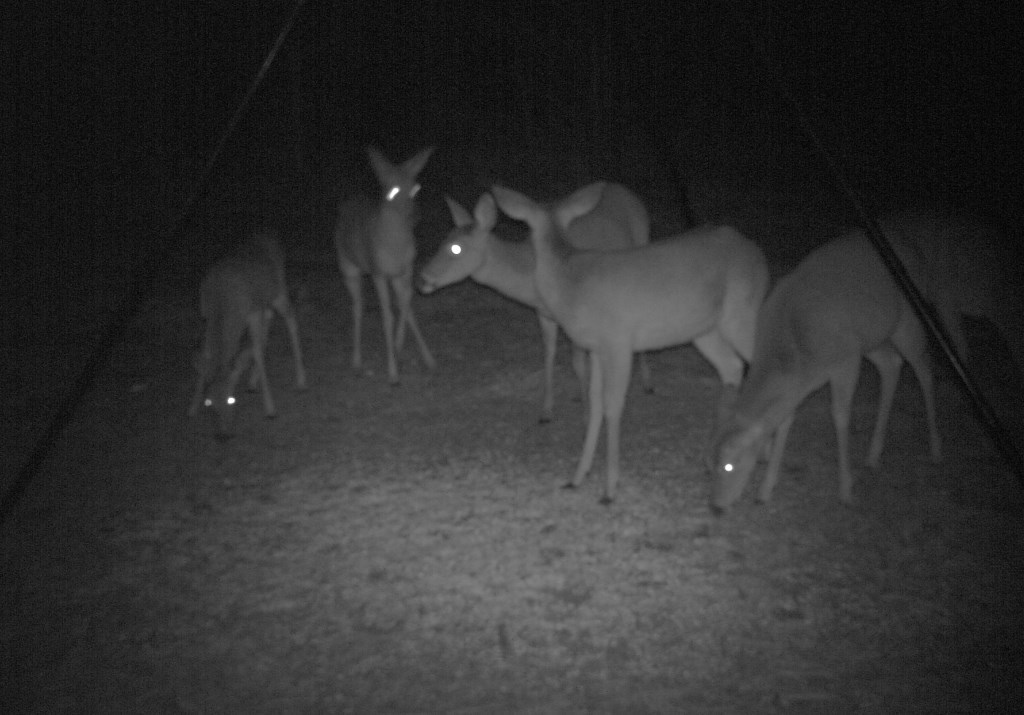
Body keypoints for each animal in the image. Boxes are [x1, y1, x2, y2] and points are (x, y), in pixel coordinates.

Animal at [189, 228, 307, 436]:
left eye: (231, 399)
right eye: (209, 402)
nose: (223, 434)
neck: (222, 303)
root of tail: (269, 234)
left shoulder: (251, 312)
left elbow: (258, 353)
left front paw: (270, 409)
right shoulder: (206, 315)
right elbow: (206, 354)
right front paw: (192, 408)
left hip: (278, 289)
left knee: (290, 318)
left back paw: (300, 381)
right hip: (264, 300)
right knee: (268, 321)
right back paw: (252, 379)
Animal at [331, 146, 436, 385]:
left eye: (415, 187)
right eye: (393, 190)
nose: (416, 215)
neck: (395, 246)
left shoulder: (406, 269)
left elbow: (407, 306)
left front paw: (415, 354)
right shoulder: (378, 272)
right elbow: (386, 316)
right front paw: (393, 372)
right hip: (348, 267)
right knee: (357, 307)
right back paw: (356, 362)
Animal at [417, 183, 651, 424]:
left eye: (456, 248)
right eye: (442, 241)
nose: (422, 279)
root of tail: (623, 190)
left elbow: (578, 362)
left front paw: (587, 412)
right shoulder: (543, 313)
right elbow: (548, 353)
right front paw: (546, 411)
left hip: (643, 237)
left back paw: (647, 383)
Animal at [489, 182, 770, 501]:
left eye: (527, 228)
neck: (570, 279)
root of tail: (757, 253)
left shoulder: (618, 342)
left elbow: (613, 406)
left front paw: (609, 488)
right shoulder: (597, 348)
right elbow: (596, 404)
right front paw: (577, 477)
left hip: (743, 311)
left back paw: (763, 474)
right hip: (706, 329)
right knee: (733, 367)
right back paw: (721, 459)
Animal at [712, 229, 942, 512]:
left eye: (729, 465)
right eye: (708, 464)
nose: (716, 505)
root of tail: (913, 250)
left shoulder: (846, 361)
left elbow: (840, 417)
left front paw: (846, 489)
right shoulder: (822, 369)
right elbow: (785, 420)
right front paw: (765, 490)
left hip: (907, 319)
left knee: (924, 369)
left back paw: (935, 449)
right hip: (869, 337)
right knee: (892, 363)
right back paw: (873, 454)